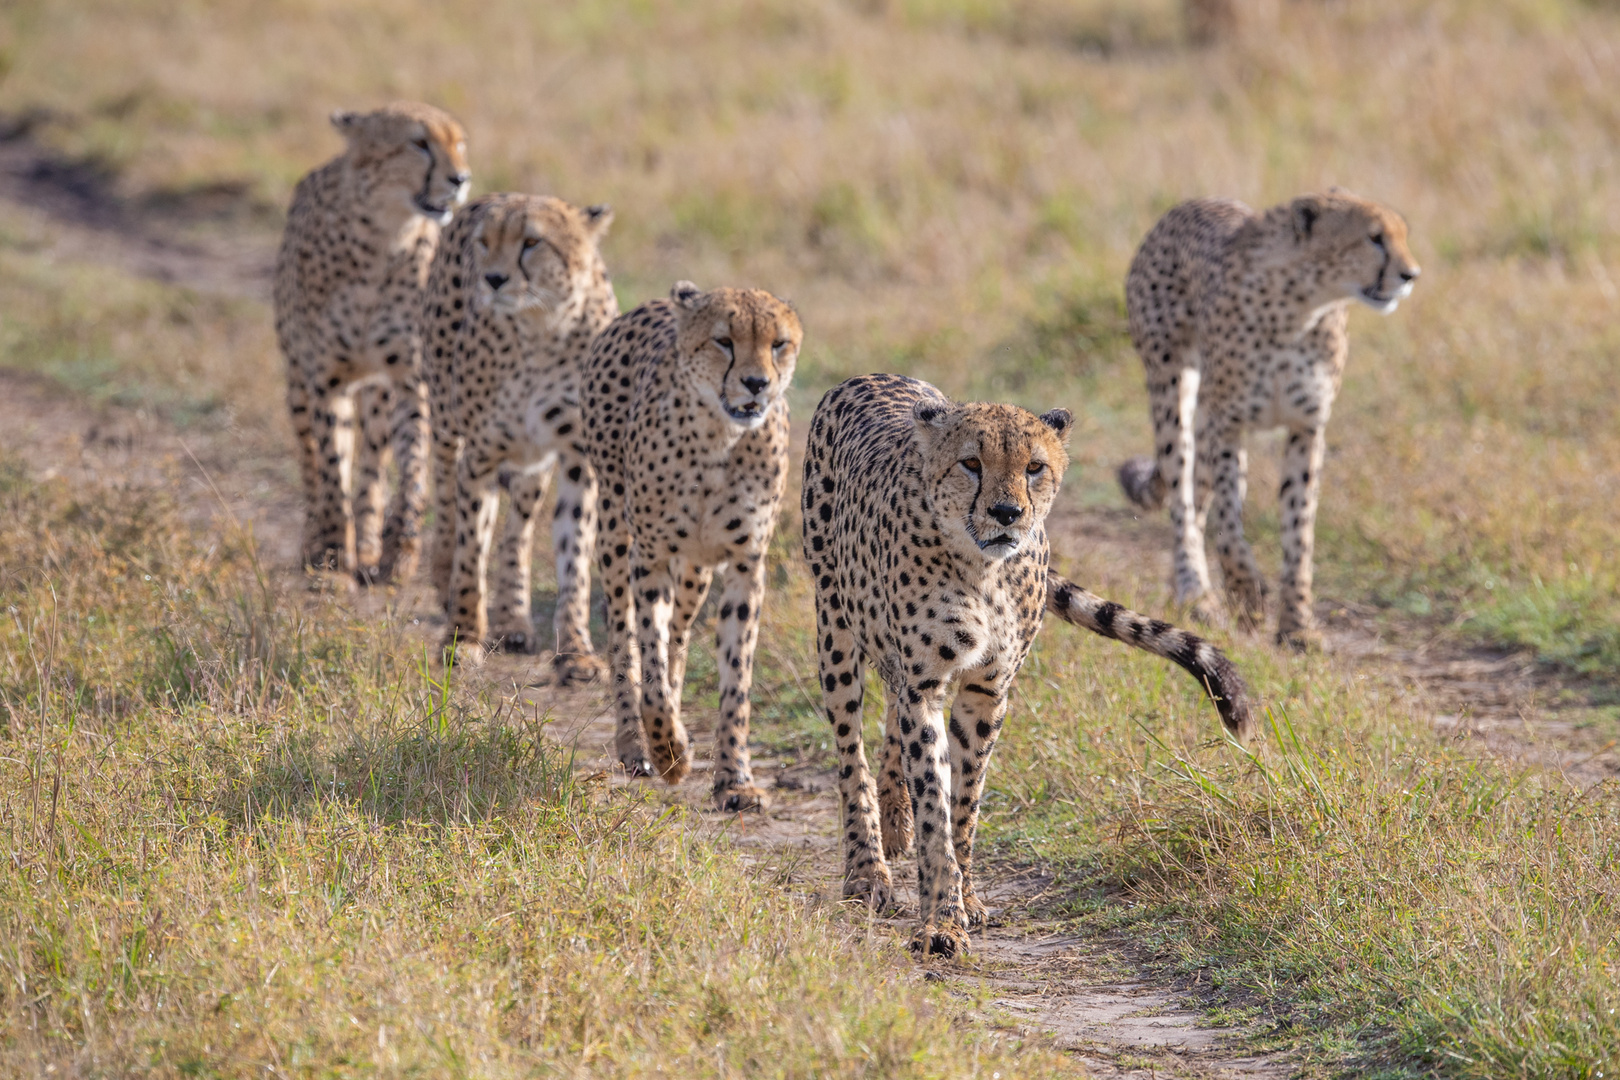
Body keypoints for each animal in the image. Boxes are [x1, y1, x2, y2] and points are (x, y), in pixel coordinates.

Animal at [273, 103, 469, 582]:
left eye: (459, 143)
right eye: (418, 143)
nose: (461, 178)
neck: (384, 240)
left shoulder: (410, 381)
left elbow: (412, 466)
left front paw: (399, 550)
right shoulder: (327, 381)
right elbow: (330, 466)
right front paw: (330, 550)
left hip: (378, 395)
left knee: (372, 469)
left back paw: (366, 543)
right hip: (298, 384)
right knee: (311, 462)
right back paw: (318, 540)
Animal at [421, 190, 615, 670]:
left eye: (532, 242)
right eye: (485, 243)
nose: (492, 279)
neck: (540, 326)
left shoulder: (576, 458)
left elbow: (574, 555)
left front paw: (577, 650)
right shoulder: (481, 454)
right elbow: (472, 547)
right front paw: (464, 635)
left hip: (531, 458)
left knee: (518, 531)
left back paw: (513, 621)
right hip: (446, 417)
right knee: (447, 493)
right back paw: (444, 575)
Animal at [586, 283, 806, 806]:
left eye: (778, 344)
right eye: (723, 341)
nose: (755, 384)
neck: (720, 440)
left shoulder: (745, 564)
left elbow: (736, 676)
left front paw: (735, 778)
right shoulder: (650, 557)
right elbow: (648, 650)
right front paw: (668, 750)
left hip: (697, 569)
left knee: (679, 635)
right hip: (614, 528)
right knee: (623, 635)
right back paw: (636, 744)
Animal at [806, 375, 1250, 958]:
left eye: (1034, 467)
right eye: (971, 463)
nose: (1006, 514)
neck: (983, 570)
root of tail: (869, 377)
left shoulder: (986, 689)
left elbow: (964, 802)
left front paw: (966, 898)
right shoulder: (927, 684)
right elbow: (935, 807)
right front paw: (940, 921)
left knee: (888, 721)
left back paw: (894, 822)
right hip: (834, 629)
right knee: (849, 752)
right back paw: (867, 872)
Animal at [1127, 187, 1419, 650]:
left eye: (1401, 235)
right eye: (1373, 238)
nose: (1411, 275)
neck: (1300, 307)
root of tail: (1190, 204)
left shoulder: (1307, 428)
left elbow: (1299, 532)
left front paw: (1297, 625)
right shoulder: (1226, 424)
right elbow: (1230, 524)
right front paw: (1246, 595)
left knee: (1196, 501)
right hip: (1172, 388)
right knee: (1182, 498)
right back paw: (1196, 593)